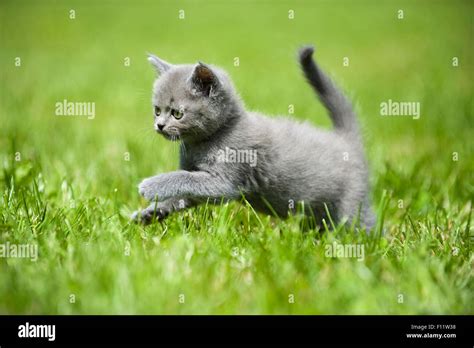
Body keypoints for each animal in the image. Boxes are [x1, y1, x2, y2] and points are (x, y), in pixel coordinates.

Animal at [131, 46, 376, 231]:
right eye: (157, 110)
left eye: (177, 114)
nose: (159, 125)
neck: (201, 143)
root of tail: (345, 138)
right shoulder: (203, 186)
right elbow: (184, 193)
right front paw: (152, 212)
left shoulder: (225, 182)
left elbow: (184, 178)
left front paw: (151, 185)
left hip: (352, 203)